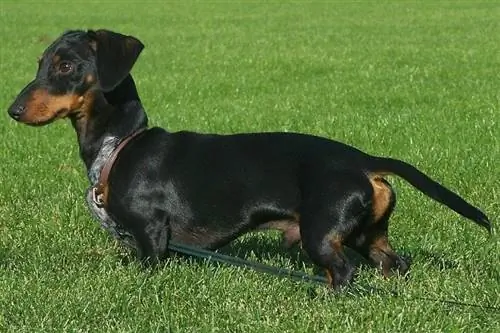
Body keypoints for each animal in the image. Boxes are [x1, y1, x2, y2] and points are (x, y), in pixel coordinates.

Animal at [8, 29, 492, 288]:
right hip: (365, 234)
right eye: (40, 62)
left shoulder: (151, 236)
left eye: (66, 65)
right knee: (394, 264)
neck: (119, 146)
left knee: (342, 273)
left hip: (322, 233)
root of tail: (363, 159)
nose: (12, 109)